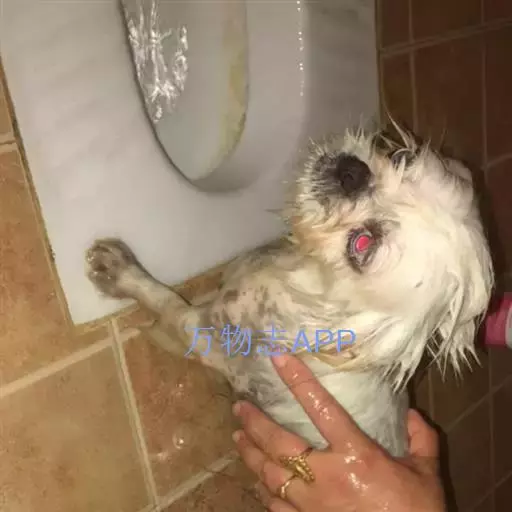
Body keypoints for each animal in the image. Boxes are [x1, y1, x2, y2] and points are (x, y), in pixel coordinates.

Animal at [86, 126, 493, 457]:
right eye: (400, 157)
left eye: (362, 244)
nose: (352, 172)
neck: (308, 278)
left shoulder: (204, 333)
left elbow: (164, 299)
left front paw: (118, 270)